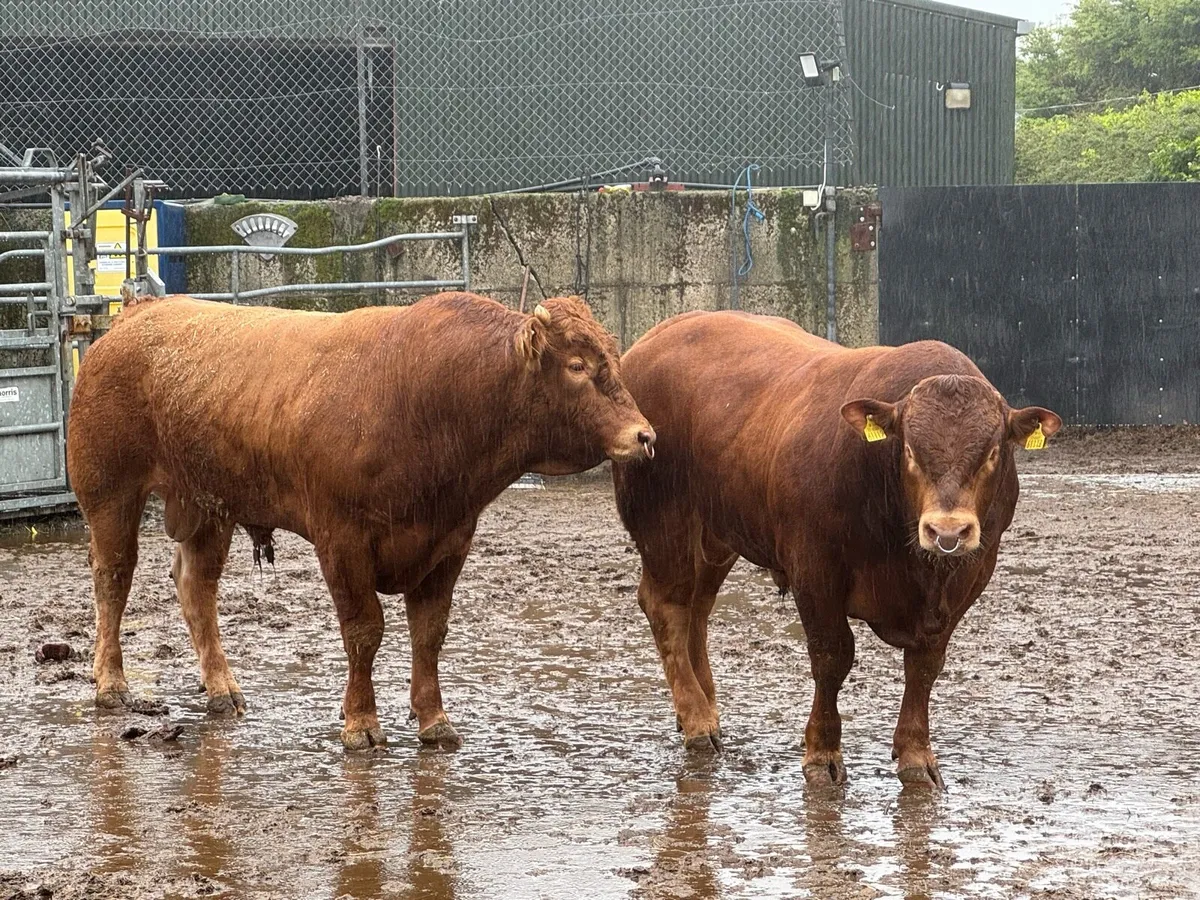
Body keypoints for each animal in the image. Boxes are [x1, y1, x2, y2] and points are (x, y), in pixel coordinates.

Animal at [67, 291, 655, 750]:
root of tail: (136, 315)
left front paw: (433, 719)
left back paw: (221, 689)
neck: (428, 398)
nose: (645, 435)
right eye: (577, 366)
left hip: (209, 508)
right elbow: (364, 631)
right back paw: (111, 683)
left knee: (196, 588)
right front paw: (361, 723)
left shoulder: (449, 541)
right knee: (113, 579)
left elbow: (429, 633)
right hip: (111, 495)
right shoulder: (342, 542)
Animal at [612, 310, 1060, 788]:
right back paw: (697, 722)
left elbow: (925, 665)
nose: (947, 530)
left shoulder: (969, 577)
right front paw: (822, 752)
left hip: (716, 533)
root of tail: (659, 334)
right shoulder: (814, 568)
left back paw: (704, 709)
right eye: (909, 450)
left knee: (697, 608)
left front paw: (916, 754)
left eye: (992, 452)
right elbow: (832, 656)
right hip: (663, 520)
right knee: (668, 607)